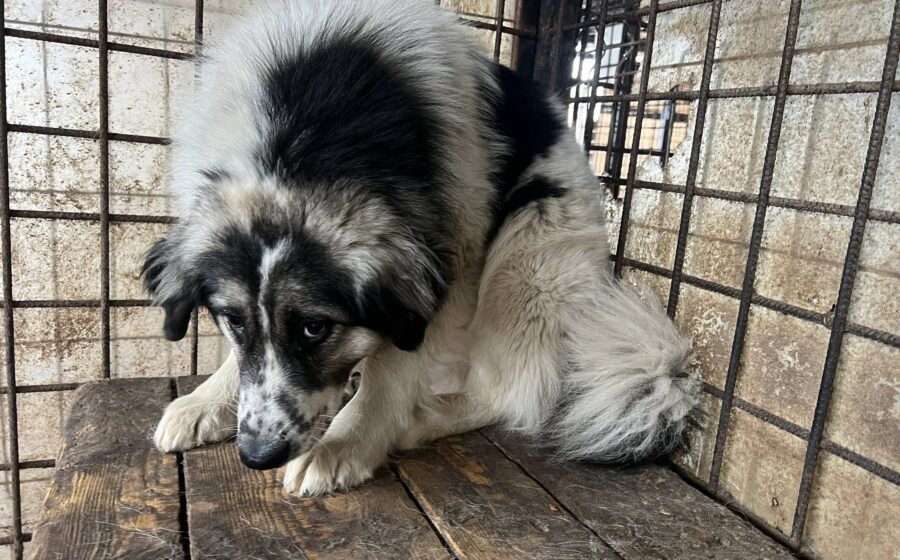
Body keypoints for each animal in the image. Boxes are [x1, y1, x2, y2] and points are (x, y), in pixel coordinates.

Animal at [144, 0, 698, 496]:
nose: (258, 455)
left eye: (315, 327)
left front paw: (348, 441)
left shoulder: (453, 256)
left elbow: (395, 364)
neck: (304, 136)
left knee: (511, 393)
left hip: (529, 248)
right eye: (232, 319)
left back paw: (419, 418)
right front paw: (206, 401)